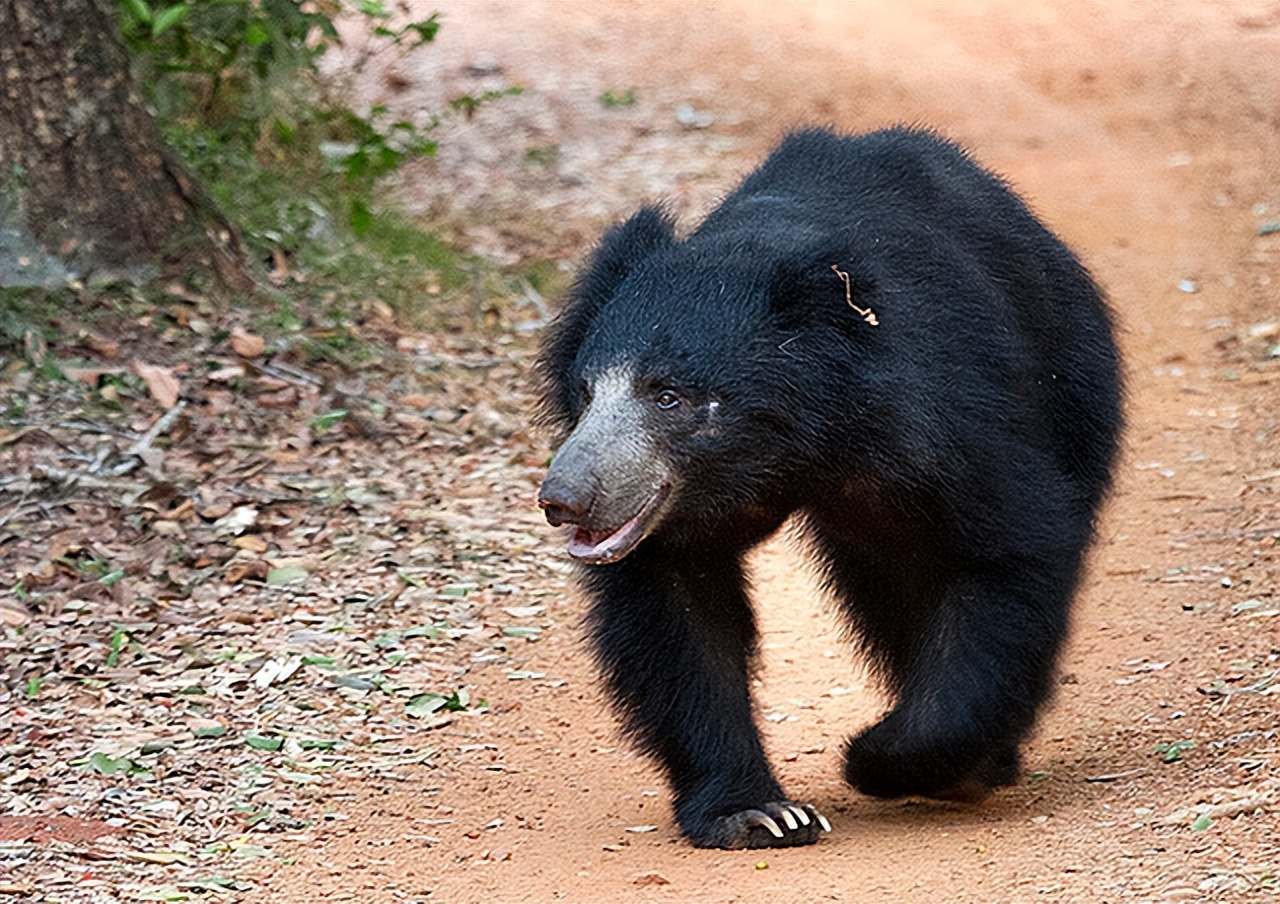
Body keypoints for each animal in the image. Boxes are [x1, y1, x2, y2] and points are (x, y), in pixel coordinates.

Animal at [529, 124, 1121, 845]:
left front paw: (890, 757)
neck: (793, 445)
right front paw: (758, 813)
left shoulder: (939, 418)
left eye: (669, 396)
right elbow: (679, 616)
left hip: (1072, 382)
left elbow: (1008, 549)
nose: (564, 498)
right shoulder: (680, 522)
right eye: (586, 393)